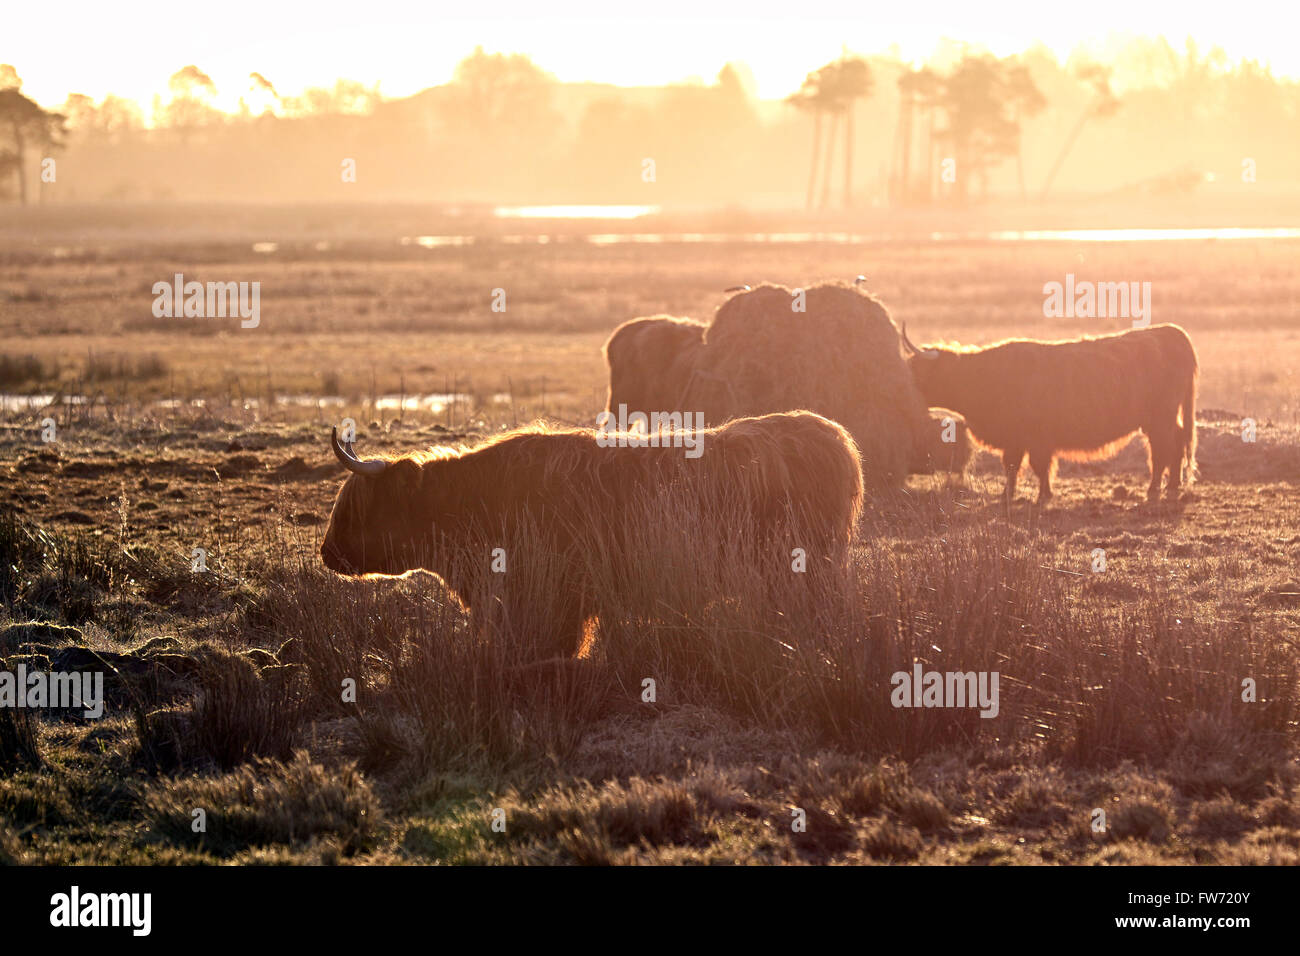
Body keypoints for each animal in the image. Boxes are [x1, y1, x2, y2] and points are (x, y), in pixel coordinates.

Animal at [904, 321, 1196, 504]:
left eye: (917, 370)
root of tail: (1170, 331)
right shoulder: (1015, 439)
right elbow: (1012, 466)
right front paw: (1007, 495)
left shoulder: (1037, 438)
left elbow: (1039, 466)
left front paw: (1043, 495)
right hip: (1165, 418)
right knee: (1178, 441)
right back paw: (1174, 486)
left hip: (1160, 417)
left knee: (1162, 451)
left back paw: (1154, 490)